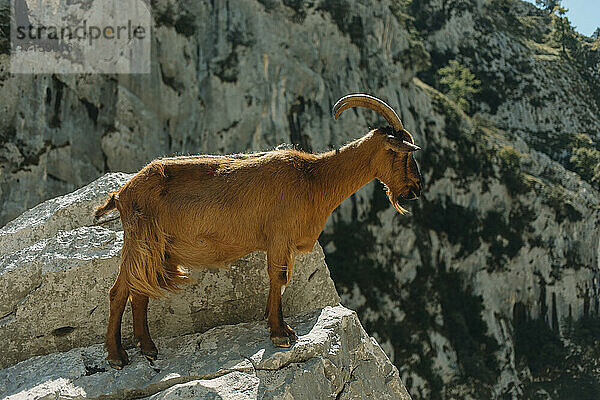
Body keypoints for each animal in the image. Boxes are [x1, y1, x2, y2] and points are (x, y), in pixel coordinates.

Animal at [92, 94, 422, 368]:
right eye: (402, 153)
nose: (415, 189)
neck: (314, 179)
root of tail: (121, 194)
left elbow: (280, 279)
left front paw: (278, 326)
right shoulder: (279, 237)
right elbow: (278, 277)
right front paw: (280, 333)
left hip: (152, 248)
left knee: (139, 291)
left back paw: (147, 348)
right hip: (141, 240)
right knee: (119, 291)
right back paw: (117, 356)